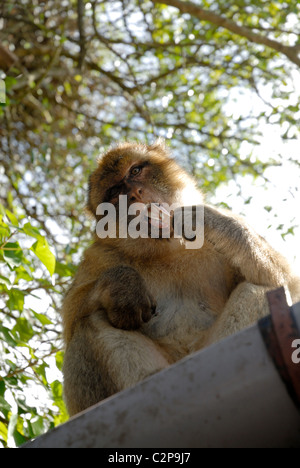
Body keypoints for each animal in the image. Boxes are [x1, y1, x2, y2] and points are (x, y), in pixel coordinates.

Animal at [62, 137, 300, 414]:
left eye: (135, 171)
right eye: (113, 193)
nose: (133, 194)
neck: (168, 248)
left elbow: (288, 283)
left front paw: (208, 220)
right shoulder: (99, 255)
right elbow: (72, 315)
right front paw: (123, 285)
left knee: (259, 289)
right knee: (89, 321)